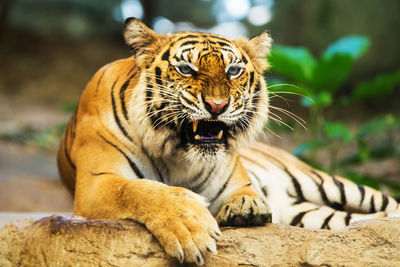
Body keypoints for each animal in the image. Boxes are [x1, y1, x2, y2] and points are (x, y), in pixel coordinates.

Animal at [57, 18, 398, 266]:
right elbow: (143, 191)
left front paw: (245, 209)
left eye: (233, 70)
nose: (217, 105)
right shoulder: (96, 183)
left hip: (328, 184)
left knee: (388, 205)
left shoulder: (239, 181)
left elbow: (245, 194)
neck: (176, 156)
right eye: (186, 69)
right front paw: (189, 228)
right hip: (309, 213)